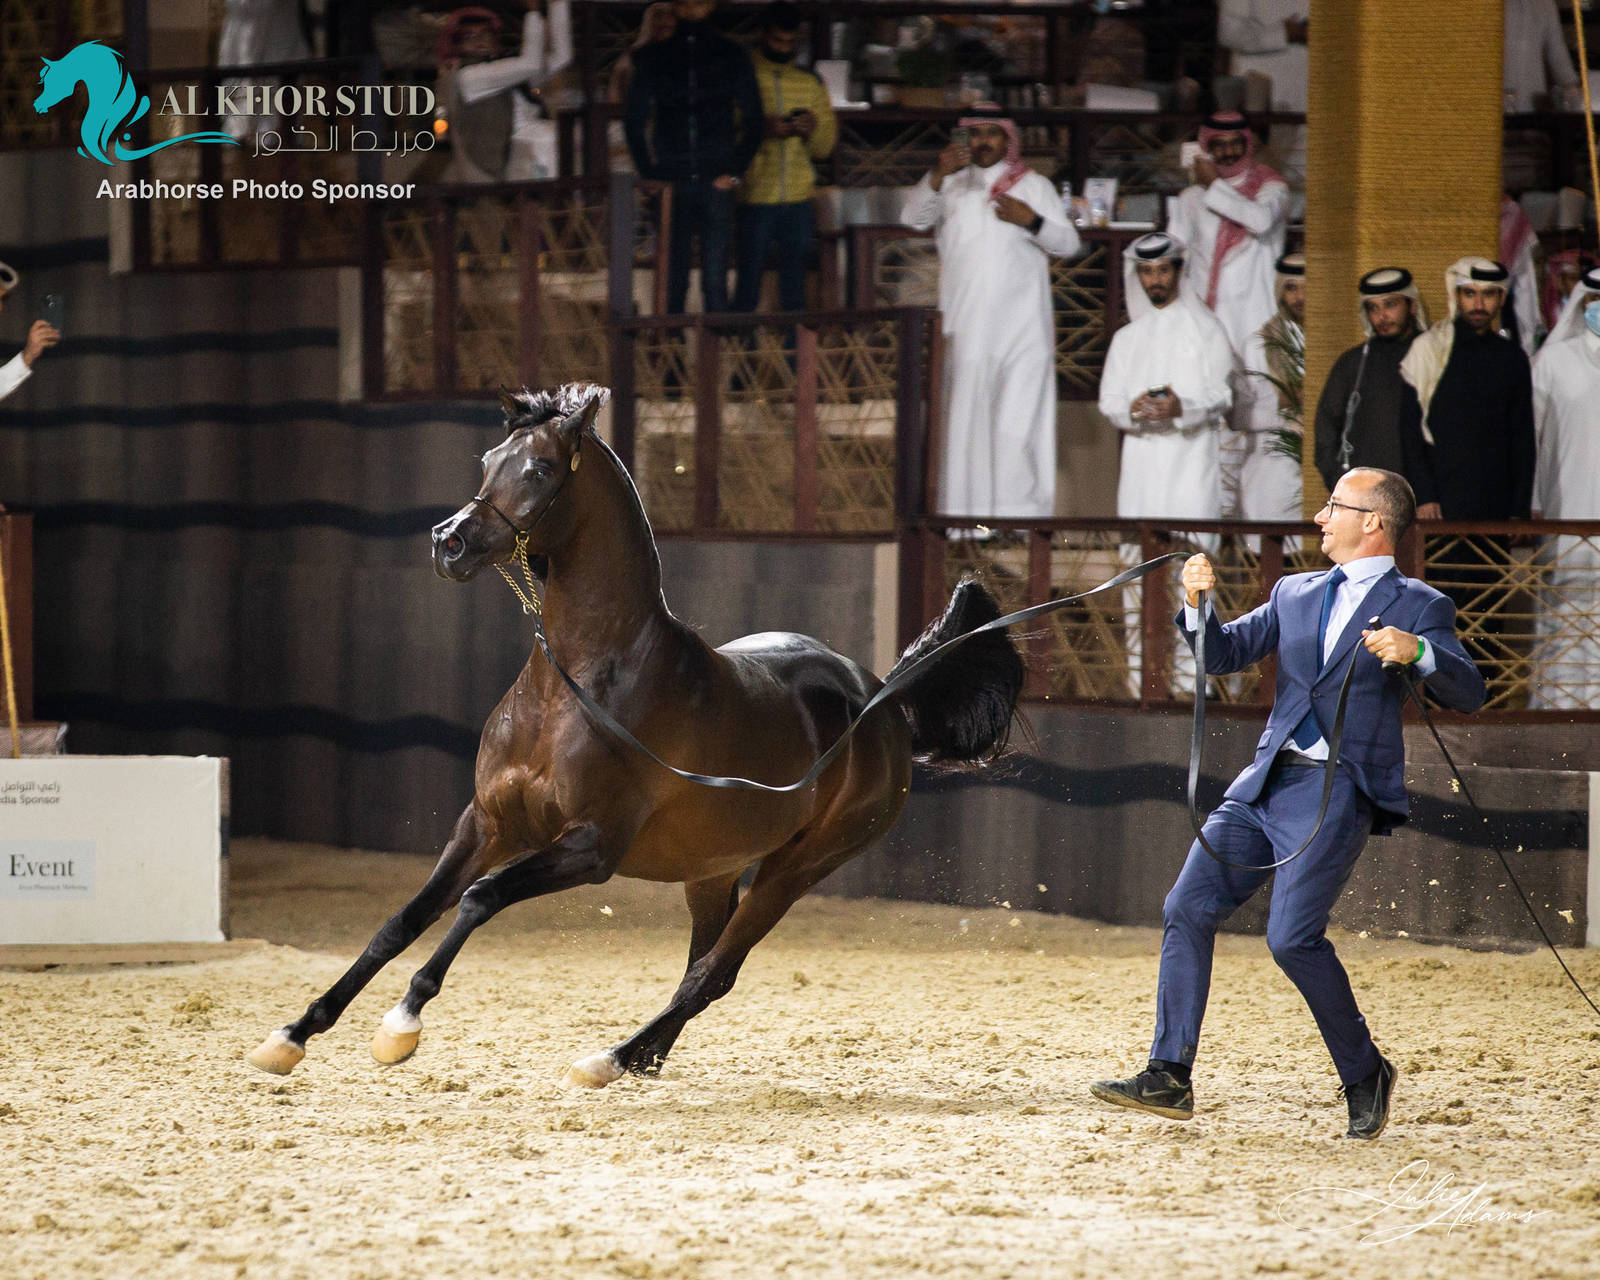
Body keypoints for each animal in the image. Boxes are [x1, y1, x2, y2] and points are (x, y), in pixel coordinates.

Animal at [246, 381, 1023, 1088]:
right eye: (490, 458)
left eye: (540, 470)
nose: (449, 543)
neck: (578, 685)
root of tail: (882, 702)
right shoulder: (486, 823)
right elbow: (402, 920)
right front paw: (291, 1036)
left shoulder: (589, 848)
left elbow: (478, 900)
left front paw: (401, 1025)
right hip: (711, 868)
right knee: (703, 966)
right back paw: (643, 1057)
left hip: (796, 870)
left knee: (713, 973)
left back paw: (612, 1058)